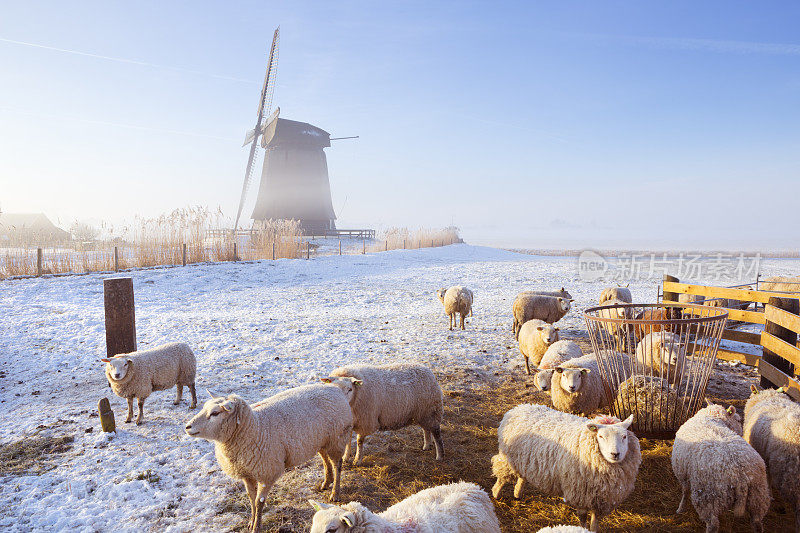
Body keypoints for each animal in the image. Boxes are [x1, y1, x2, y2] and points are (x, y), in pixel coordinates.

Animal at [186, 386, 354, 532]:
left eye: (215, 413)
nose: (187, 427)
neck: (254, 428)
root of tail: (336, 389)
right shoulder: (247, 473)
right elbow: (251, 499)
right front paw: (251, 522)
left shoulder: (267, 473)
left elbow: (259, 502)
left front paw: (256, 527)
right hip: (322, 441)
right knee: (326, 460)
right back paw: (326, 483)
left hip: (337, 438)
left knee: (337, 464)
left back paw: (335, 492)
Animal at [490, 406, 640, 528]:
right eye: (601, 436)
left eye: (624, 436)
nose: (615, 454)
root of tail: (517, 408)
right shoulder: (581, 492)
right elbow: (583, 517)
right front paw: (583, 528)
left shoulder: (599, 496)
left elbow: (595, 521)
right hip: (508, 458)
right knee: (501, 476)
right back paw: (495, 494)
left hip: (525, 460)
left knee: (522, 476)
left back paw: (517, 494)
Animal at [672, 400, 772, 532]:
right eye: (738, 420)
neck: (713, 417)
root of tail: (741, 477)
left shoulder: (683, 474)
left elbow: (684, 492)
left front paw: (680, 509)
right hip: (758, 496)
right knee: (757, 523)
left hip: (708, 498)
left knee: (713, 524)